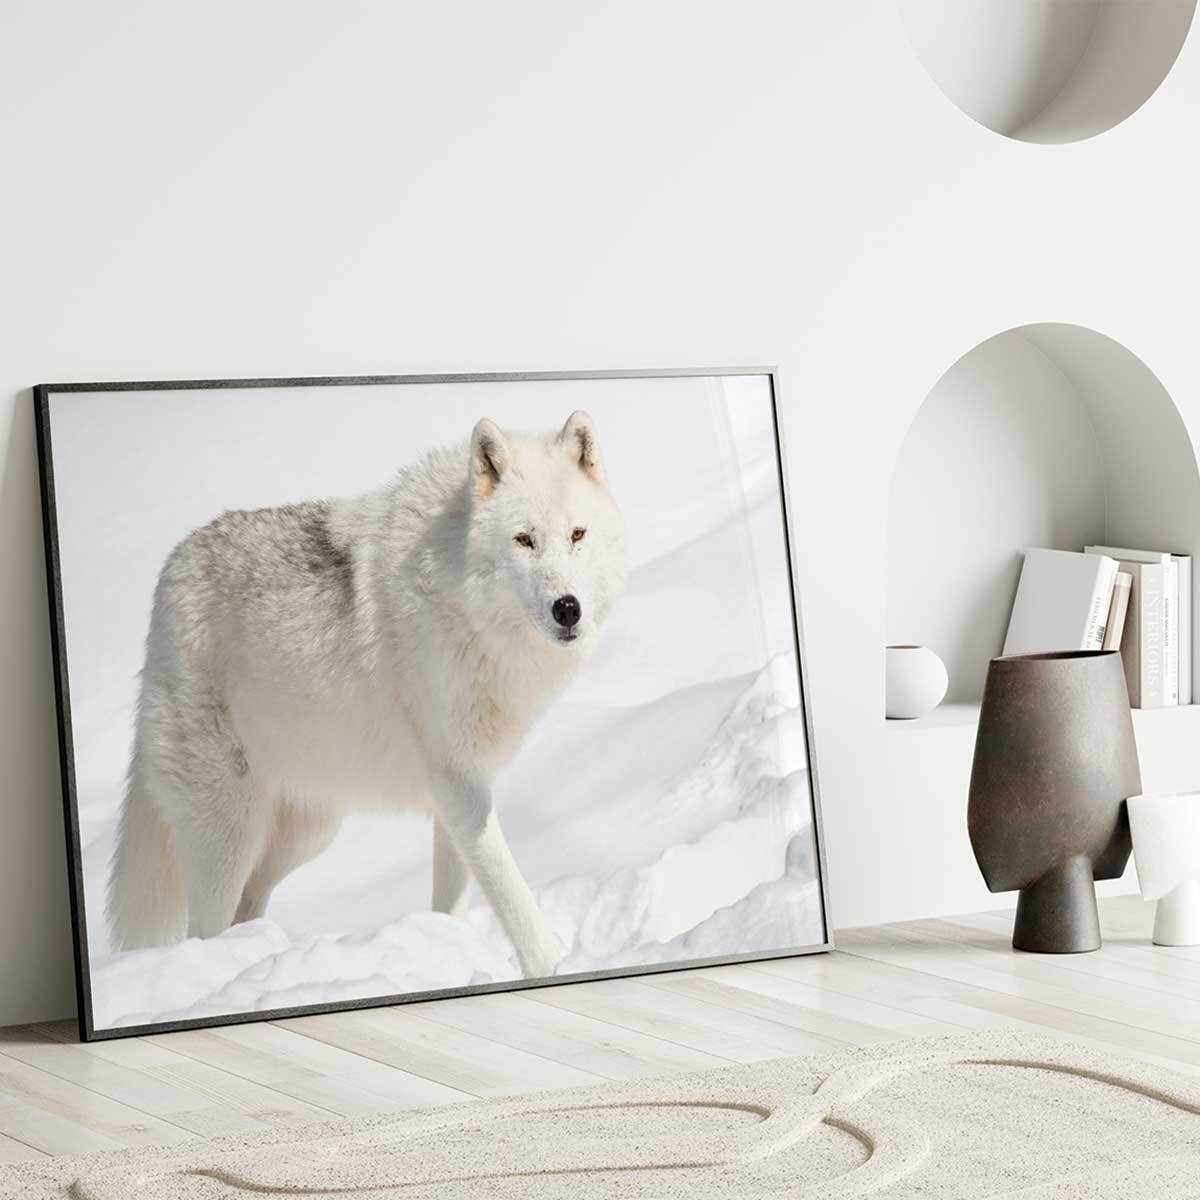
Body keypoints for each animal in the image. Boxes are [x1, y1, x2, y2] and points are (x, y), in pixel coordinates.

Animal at [107, 411, 626, 979]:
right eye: (524, 540)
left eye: (577, 534)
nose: (567, 608)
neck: (465, 610)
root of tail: (169, 573)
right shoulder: (459, 786)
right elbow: (512, 893)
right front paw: (552, 968)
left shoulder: (457, 792)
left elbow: (452, 899)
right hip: (229, 834)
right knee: (202, 931)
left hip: (307, 832)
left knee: (248, 908)